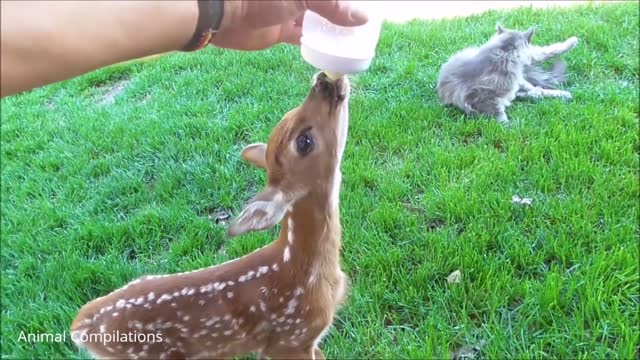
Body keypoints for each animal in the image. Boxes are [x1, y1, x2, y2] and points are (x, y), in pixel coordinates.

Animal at [72, 71, 352, 360]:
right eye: (304, 141)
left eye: (289, 113)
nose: (322, 80)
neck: (307, 272)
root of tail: (80, 327)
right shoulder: (290, 339)